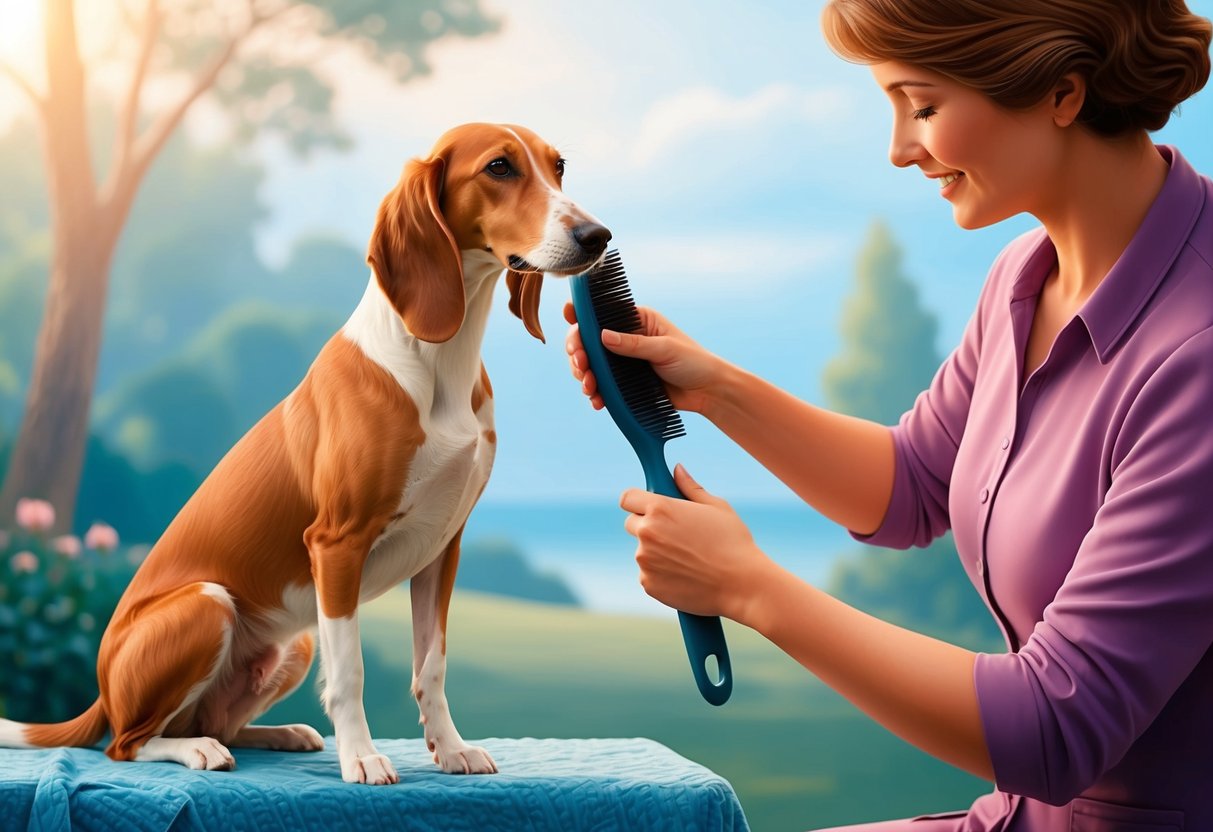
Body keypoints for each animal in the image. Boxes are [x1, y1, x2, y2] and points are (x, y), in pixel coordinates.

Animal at [0, 123, 606, 790]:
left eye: (559, 166)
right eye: (499, 167)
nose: (597, 236)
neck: (437, 362)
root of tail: (102, 692)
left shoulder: (442, 549)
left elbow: (432, 666)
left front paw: (450, 749)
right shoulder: (336, 546)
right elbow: (352, 673)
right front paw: (362, 757)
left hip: (294, 642)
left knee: (209, 720)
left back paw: (281, 733)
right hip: (209, 605)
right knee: (128, 743)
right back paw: (198, 751)